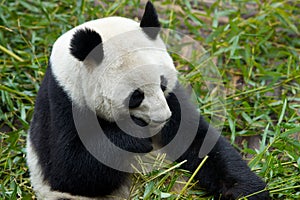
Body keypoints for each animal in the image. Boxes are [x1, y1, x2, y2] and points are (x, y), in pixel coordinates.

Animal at [26, 1, 270, 200]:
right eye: (136, 96)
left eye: (162, 83)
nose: (163, 118)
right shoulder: (64, 102)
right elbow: (69, 169)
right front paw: (136, 137)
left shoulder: (174, 100)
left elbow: (200, 142)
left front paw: (247, 190)